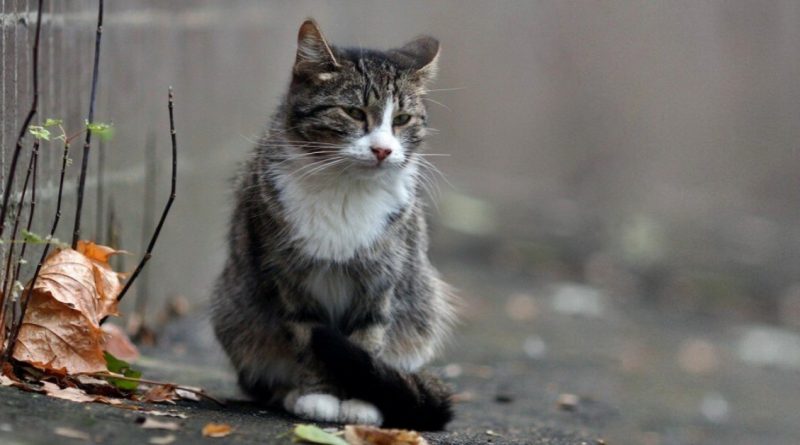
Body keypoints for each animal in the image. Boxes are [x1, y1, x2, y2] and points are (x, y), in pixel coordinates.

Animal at [209, 18, 454, 430]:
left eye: (401, 120)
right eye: (354, 113)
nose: (383, 150)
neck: (345, 189)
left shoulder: (381, 278)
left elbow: (366, 341)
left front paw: (360, 402)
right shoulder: (288, 276)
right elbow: (308, 338)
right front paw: (318, 396)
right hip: (235, 311)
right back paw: (289, 392)